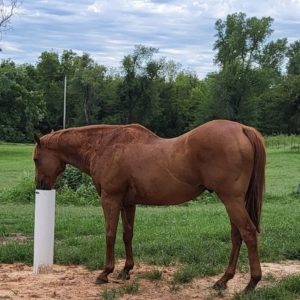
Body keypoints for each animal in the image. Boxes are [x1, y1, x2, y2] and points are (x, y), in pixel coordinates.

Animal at [34, 119, 266, 290]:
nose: (40, 186)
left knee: (247, 233)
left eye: (36, 159)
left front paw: (105, 273)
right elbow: (127, 234)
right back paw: (223, 280)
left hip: (231, 199)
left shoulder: (110, 198)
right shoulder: (128, 203)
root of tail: (242, 129)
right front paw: (126, 270)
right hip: (234, 201)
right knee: (236, 235)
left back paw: (251, 283)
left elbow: (110, 234)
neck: (105, 145)